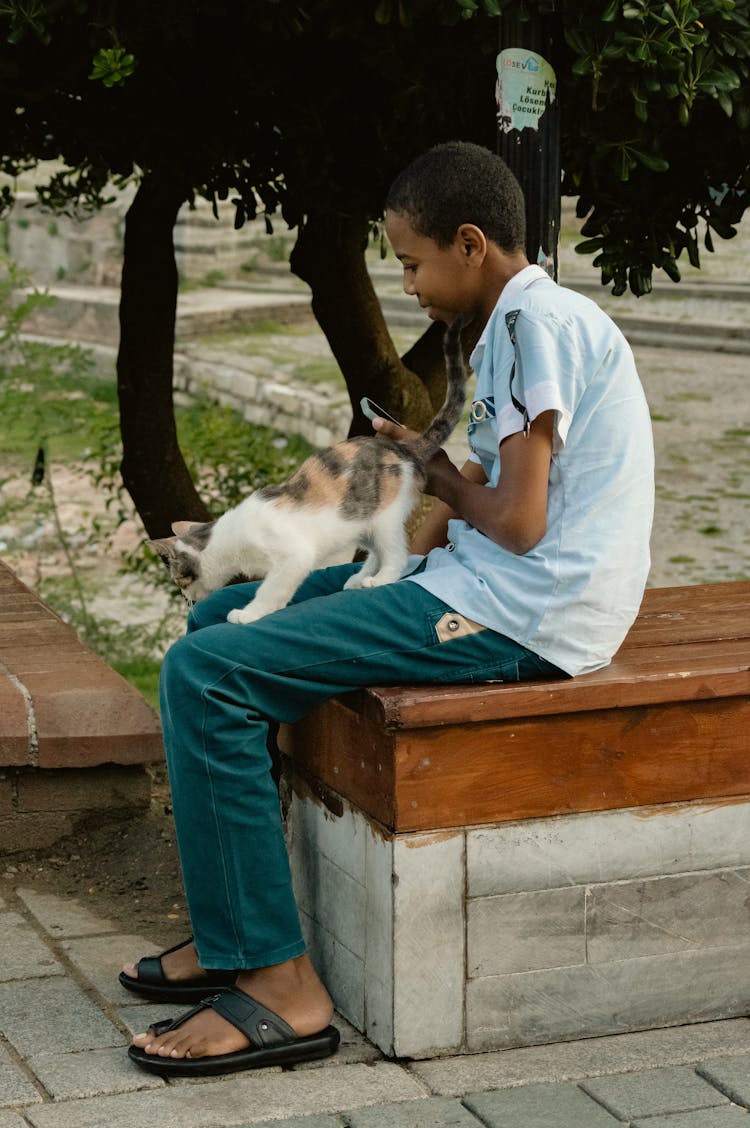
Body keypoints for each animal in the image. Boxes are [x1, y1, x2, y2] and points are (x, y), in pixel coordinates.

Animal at [150, 315, 469, 627]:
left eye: (179, 580)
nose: (185, 599)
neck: (229, 537)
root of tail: (405, 448)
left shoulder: (294, 556)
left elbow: (271, 588)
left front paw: (249, 613)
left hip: (385, 517)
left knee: (397, 554)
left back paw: (379, 580)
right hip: (360, 520)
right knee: (376, 551)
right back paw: (359, 577)